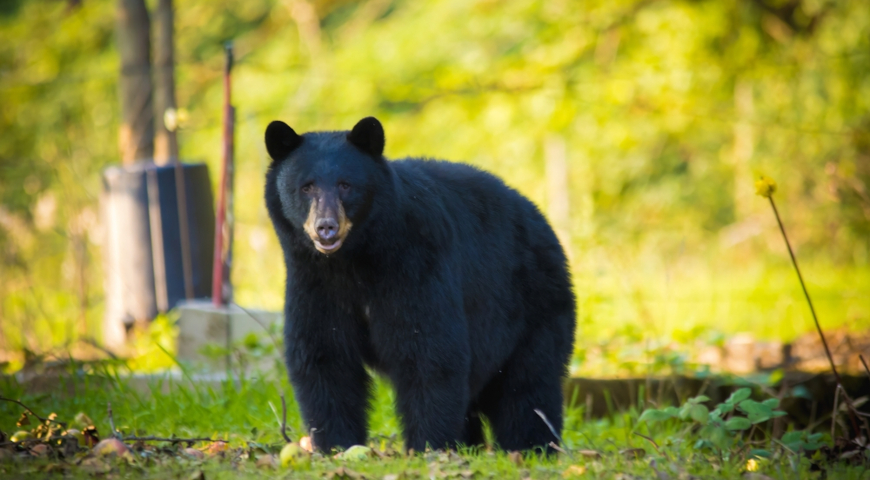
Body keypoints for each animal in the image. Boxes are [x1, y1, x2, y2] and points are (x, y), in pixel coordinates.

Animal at [264, 117, 576, 453]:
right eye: (306, 187)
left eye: (346, 185)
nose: (326, 227)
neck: (355, 258)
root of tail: (542, 220)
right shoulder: (313, 281)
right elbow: (325, 356)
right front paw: (337, 445)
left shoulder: (415, 264)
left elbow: (428, 351)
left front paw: (428, 445)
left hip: (533, 303)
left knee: (528, 383)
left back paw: (532, 446)